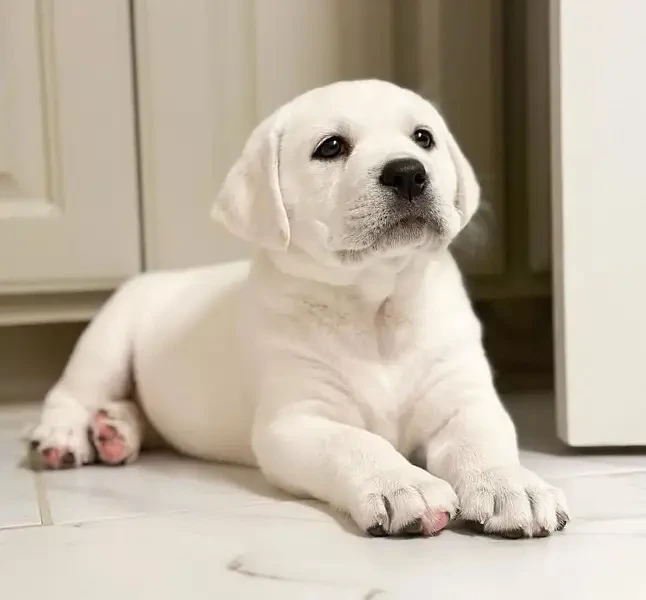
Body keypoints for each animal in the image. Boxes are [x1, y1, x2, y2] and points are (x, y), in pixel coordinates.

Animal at [29, 79, 572, 540]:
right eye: (330, 147)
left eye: (424, 138)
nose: (408, 172)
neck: (375, 307)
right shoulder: (298, 421)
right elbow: (357, 444)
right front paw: (404, 485)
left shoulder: (464, 397)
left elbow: (481, 441)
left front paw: (510, 486)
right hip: (107, 337)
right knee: (72, 393)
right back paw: (65, 437)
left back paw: (115, 430)